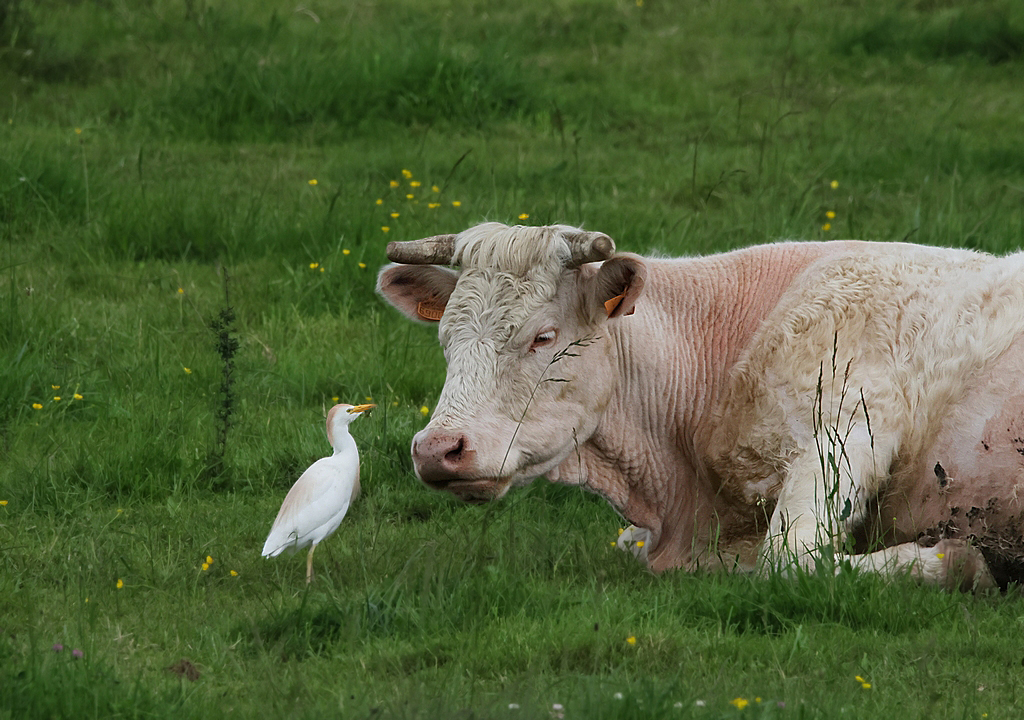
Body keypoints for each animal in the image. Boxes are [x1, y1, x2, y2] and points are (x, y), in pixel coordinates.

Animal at [374, 225, 1024, 589]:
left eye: (543, 336)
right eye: (445, 338)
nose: (437, 450)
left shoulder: (851, 424)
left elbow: (789, 562)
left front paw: (963, 559)